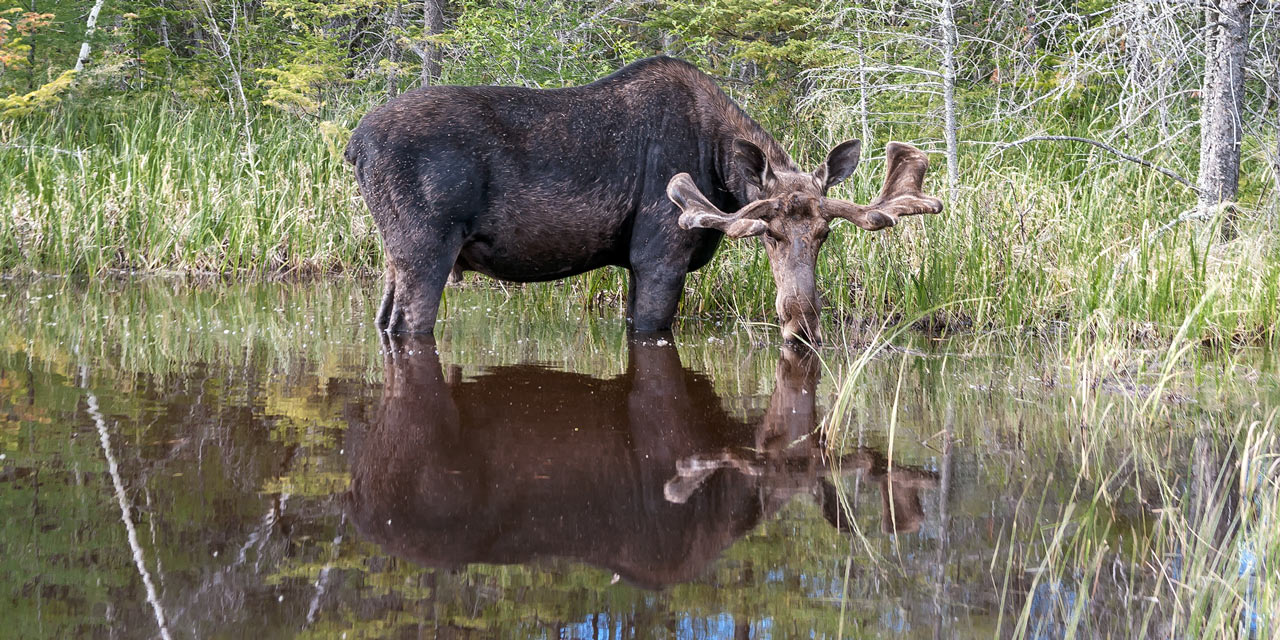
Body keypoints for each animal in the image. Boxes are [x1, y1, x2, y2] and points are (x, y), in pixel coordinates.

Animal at [345, 56, 942, 344]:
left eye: (824, 234)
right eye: (767, 235)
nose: (802, 326)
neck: (717, 169)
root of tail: (355, 146)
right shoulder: (658, 255)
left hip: (394, 254)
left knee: (384, 320)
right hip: (426, 248)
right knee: (409, 325)